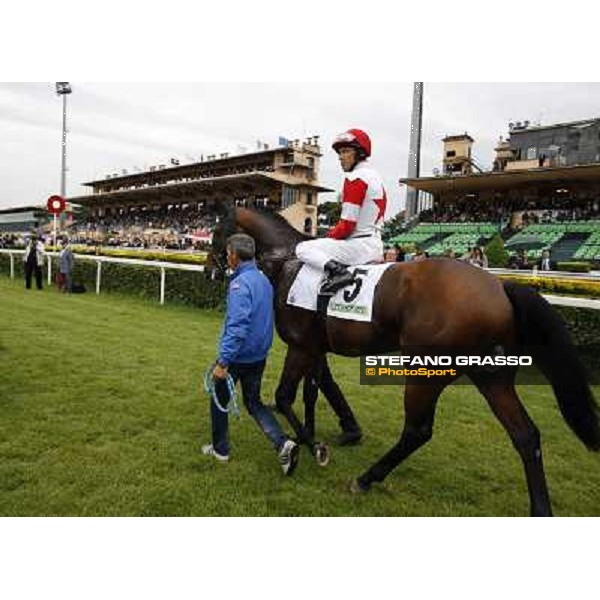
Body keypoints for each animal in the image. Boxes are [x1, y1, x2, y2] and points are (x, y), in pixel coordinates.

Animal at [217, 206, 600, 516]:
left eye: (217, 229)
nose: (215, 267)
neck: (288, 264)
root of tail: (499, 287)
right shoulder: (315, 347)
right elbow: (314, 391)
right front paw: (320, 435)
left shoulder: (300, 346)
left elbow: (284, 396)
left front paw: (312, 447)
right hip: (491, 374)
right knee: (525, 435)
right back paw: (541, 508)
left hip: (425, 371)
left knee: (418, 430)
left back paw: (366, 479)